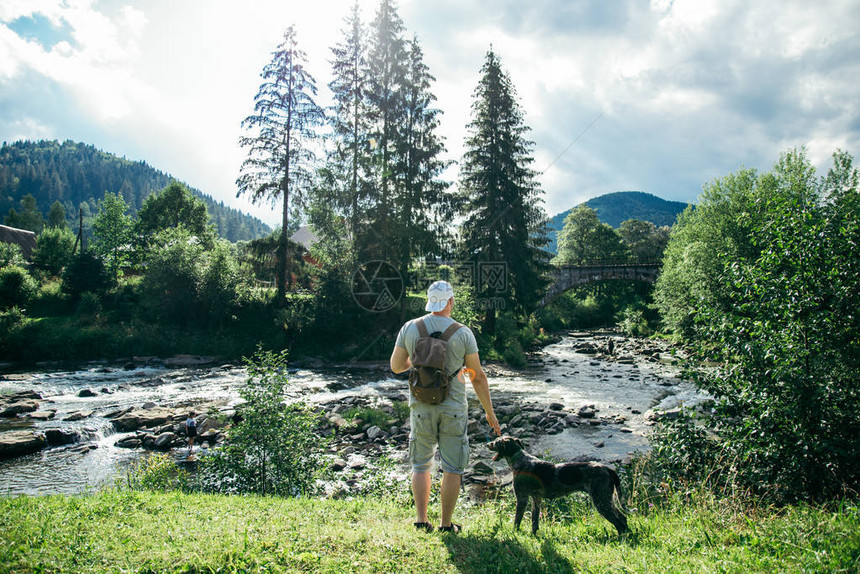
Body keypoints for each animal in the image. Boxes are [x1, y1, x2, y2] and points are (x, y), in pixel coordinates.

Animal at [488, 438, 628, 536]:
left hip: (601, 502)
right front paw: (534, 536)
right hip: (607, 500)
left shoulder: (522, 499)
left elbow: (517, 520)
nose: (488, 443)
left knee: (619, 523)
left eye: (497, 441)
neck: (520, 459)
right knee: (623, 518)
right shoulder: (536, 499)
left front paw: (514, 533)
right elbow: (534, 522)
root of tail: (607, 468)